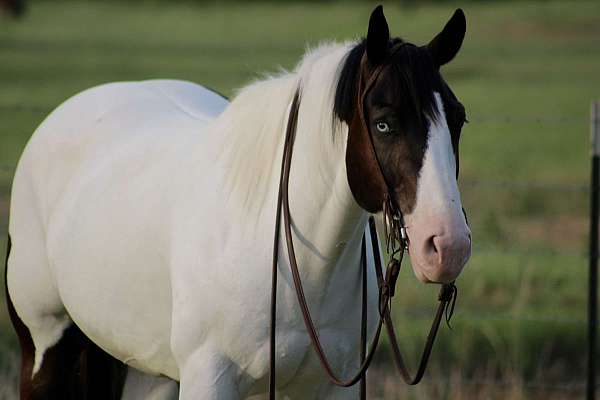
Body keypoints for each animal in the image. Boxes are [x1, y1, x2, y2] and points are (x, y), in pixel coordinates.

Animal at [5, 6, 474, 400]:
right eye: (384, 123)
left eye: (458, 118)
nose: (448, 246)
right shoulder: (208, 380)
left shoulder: (333, 384)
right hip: (44, 352)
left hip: (149, 371)